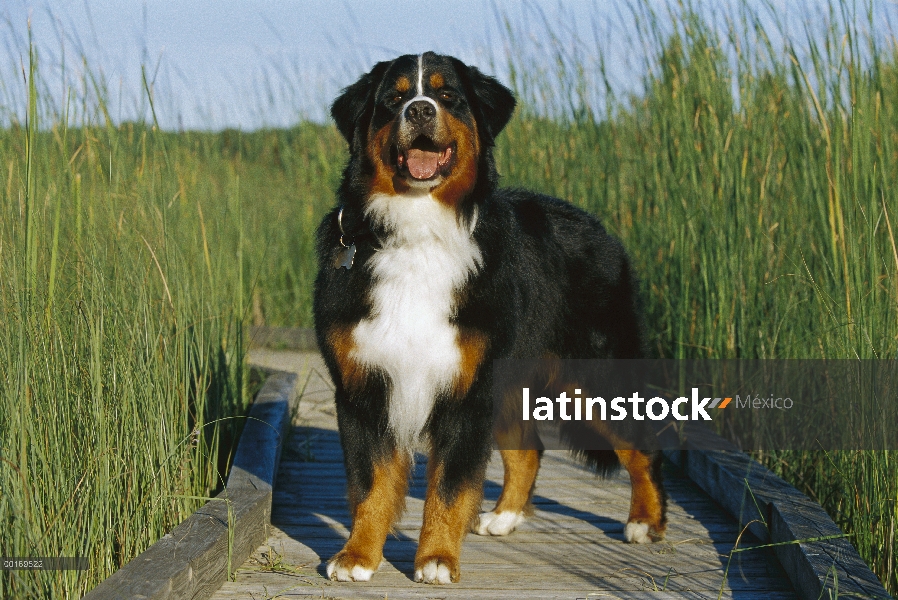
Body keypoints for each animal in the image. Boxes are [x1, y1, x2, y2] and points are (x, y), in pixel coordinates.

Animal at [316, 51, 664, 584]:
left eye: (447, 95)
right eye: (393, 99)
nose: (420, 110)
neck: (417, 233)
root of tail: (601, 229)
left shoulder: (467, 390)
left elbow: (449, 487)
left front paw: (437, 559)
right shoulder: (363, 386)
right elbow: (370, 486)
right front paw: (357, 556)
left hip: (593, 377)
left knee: (642, 445)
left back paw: (646, 521)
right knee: (528, 450)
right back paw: (504, 517)